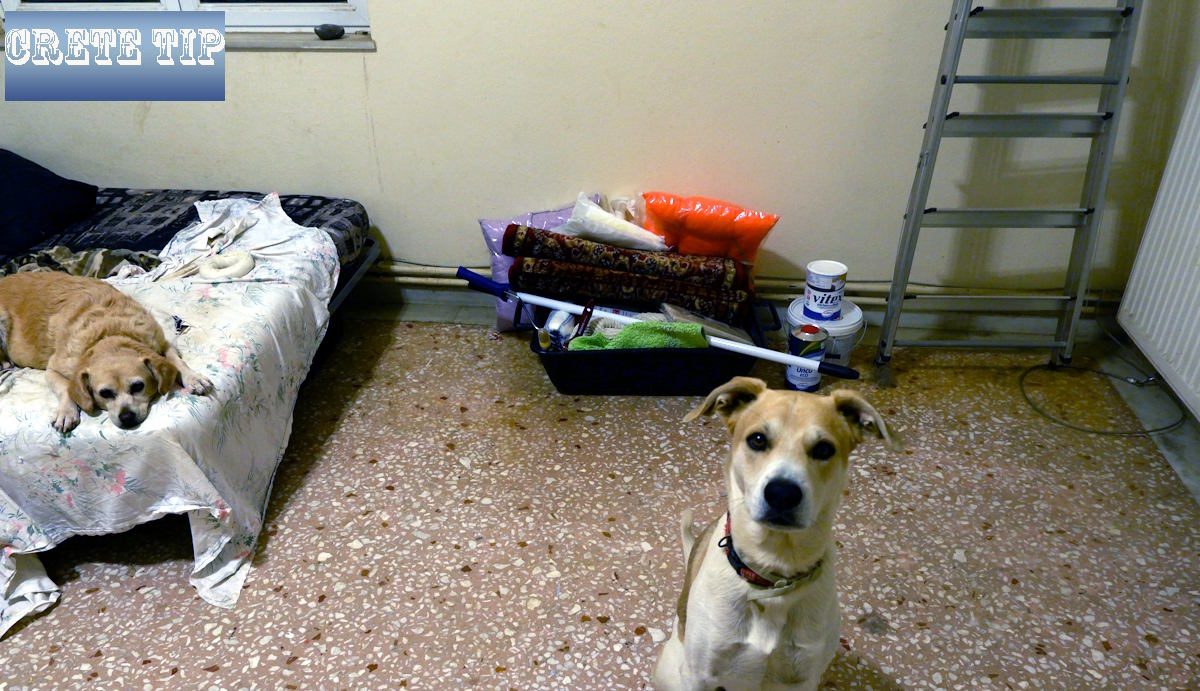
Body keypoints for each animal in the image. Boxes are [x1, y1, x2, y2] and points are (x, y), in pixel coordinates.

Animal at [0, 271, 213, 433]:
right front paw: (66, 412)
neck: (108, 334)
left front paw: (194, 378)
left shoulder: (162, 343)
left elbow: (177, 362)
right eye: (105, 393)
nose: (126, 417)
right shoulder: (53, 370)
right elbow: (66, 387)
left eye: (138, 386)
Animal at [653, 376, 891, 691]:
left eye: (824, 449)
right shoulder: (700, 676)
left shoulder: (803, 678)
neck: (773, 575)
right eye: (757, 439)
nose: (782, 493)